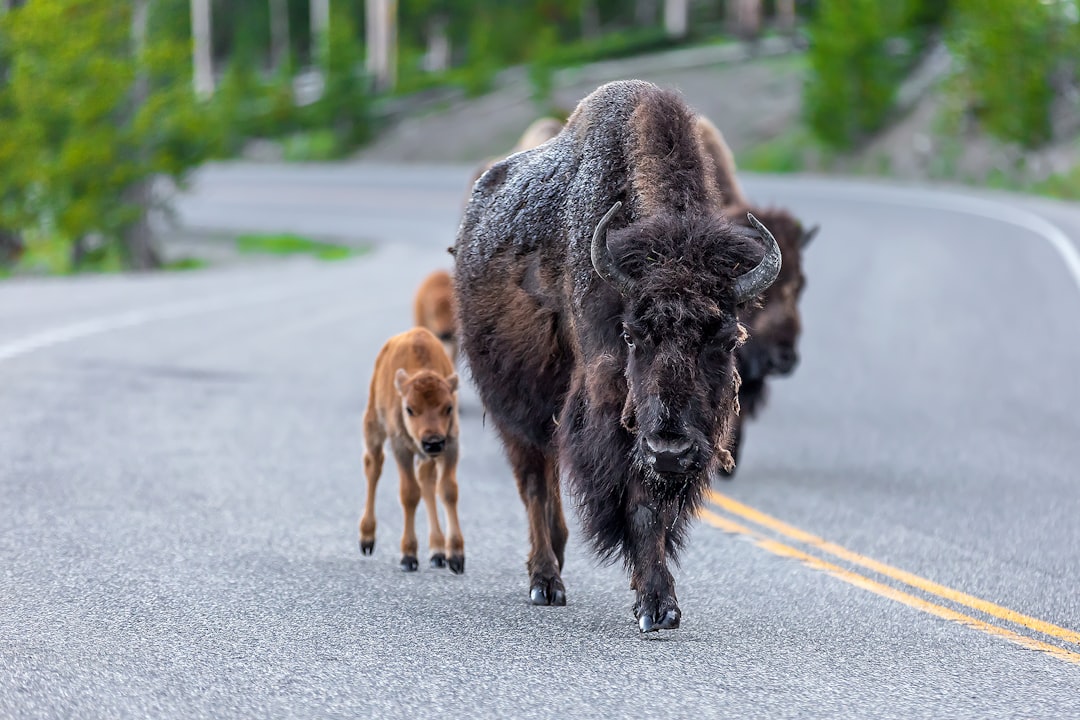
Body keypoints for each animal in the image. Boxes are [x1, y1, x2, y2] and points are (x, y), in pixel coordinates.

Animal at [358, 327, 464, 574]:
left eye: (449, 407)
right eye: (409, 409)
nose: (433, 442)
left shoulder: (451, 445)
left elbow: (448, 491)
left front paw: (455, 556)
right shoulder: (401, 448)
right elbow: (409, 494)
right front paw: (408, 556)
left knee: (427, 481)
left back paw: (437, 551)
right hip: (374, 426)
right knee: (373, 467)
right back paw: (367, 539)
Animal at [453, 80, 782, 632]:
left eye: (726, 338)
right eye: (631, 335)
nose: (670, 449)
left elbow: (657, 510)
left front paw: (657, 601)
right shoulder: (609, 413)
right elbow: (638, 503)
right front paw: (656, 606)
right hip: (511, 407)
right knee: (534, 481)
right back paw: (546, 582)